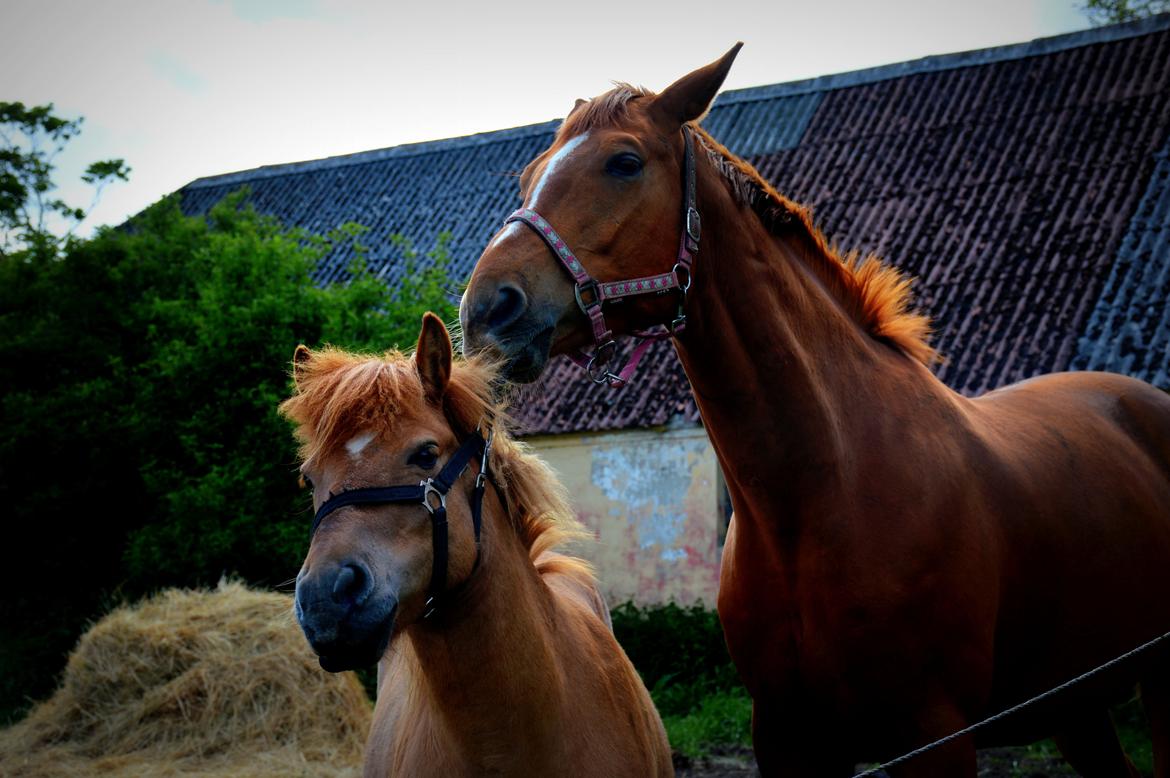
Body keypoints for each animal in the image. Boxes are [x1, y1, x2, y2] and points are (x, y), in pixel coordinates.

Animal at [458, 50, 1170, 776]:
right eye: (530, 176)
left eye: (624, 162)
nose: (487, 308)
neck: (826, 488)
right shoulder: (786, 736)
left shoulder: (937, 734)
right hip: (1076, 706)